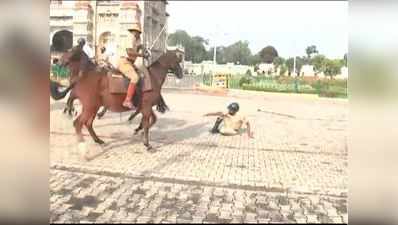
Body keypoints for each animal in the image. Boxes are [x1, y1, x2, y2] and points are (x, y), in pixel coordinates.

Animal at [50, 50, 185, 150]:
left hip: (93, 107)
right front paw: (146, 143)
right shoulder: (146, 106)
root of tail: (81, 78)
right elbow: (147, 123)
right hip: (90, 107)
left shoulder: (145, 107)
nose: (181, 74)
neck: (152, 77)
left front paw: (138, 130)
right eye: (177, 60)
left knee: (87, 123)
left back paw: (98, 140)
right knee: (79, 123)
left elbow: (152, 120)